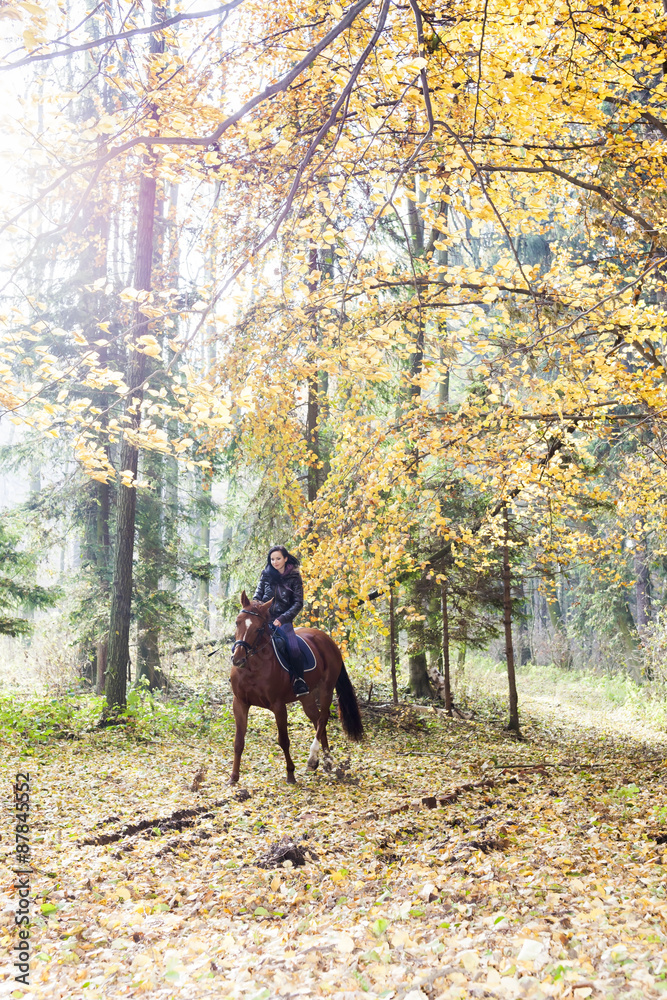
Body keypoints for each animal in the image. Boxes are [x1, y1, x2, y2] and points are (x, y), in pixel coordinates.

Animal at [230, 588, 366, 784]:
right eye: (237, 622)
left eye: (259, 628)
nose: (238, 659)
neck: (252, 667)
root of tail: (328, 640)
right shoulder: (240, 703)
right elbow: (238, 741)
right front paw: (233, 777)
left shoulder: (278, 706)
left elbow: (283, 740)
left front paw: (290, 774)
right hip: (307, 697)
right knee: (317, 720)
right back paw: (325, 760)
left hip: (326, 688)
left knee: (323, 718)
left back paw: (314, 758)